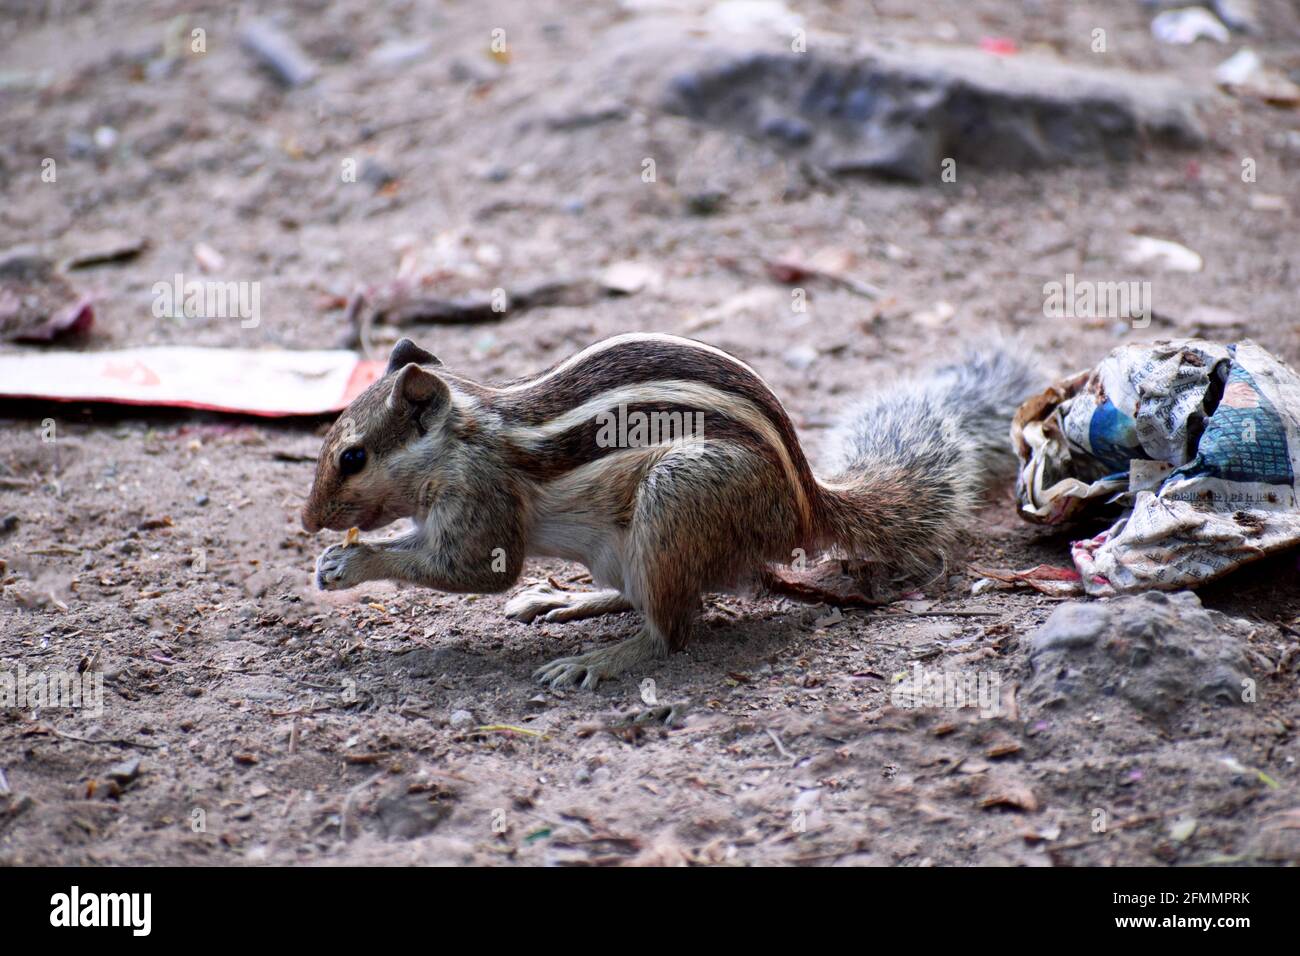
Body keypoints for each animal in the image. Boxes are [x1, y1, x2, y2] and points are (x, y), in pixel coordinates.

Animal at [302, 332, 1040, 689]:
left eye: (353, 458)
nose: (308, 522)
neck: (463, 435)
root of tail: (804, 502)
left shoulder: (481, 502)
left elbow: (480, 571)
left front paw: (351, 561)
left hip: (676, 497)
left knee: (672, 628)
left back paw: (603, 659)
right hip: (625, 545)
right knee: (642, 595)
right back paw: (565, 601)